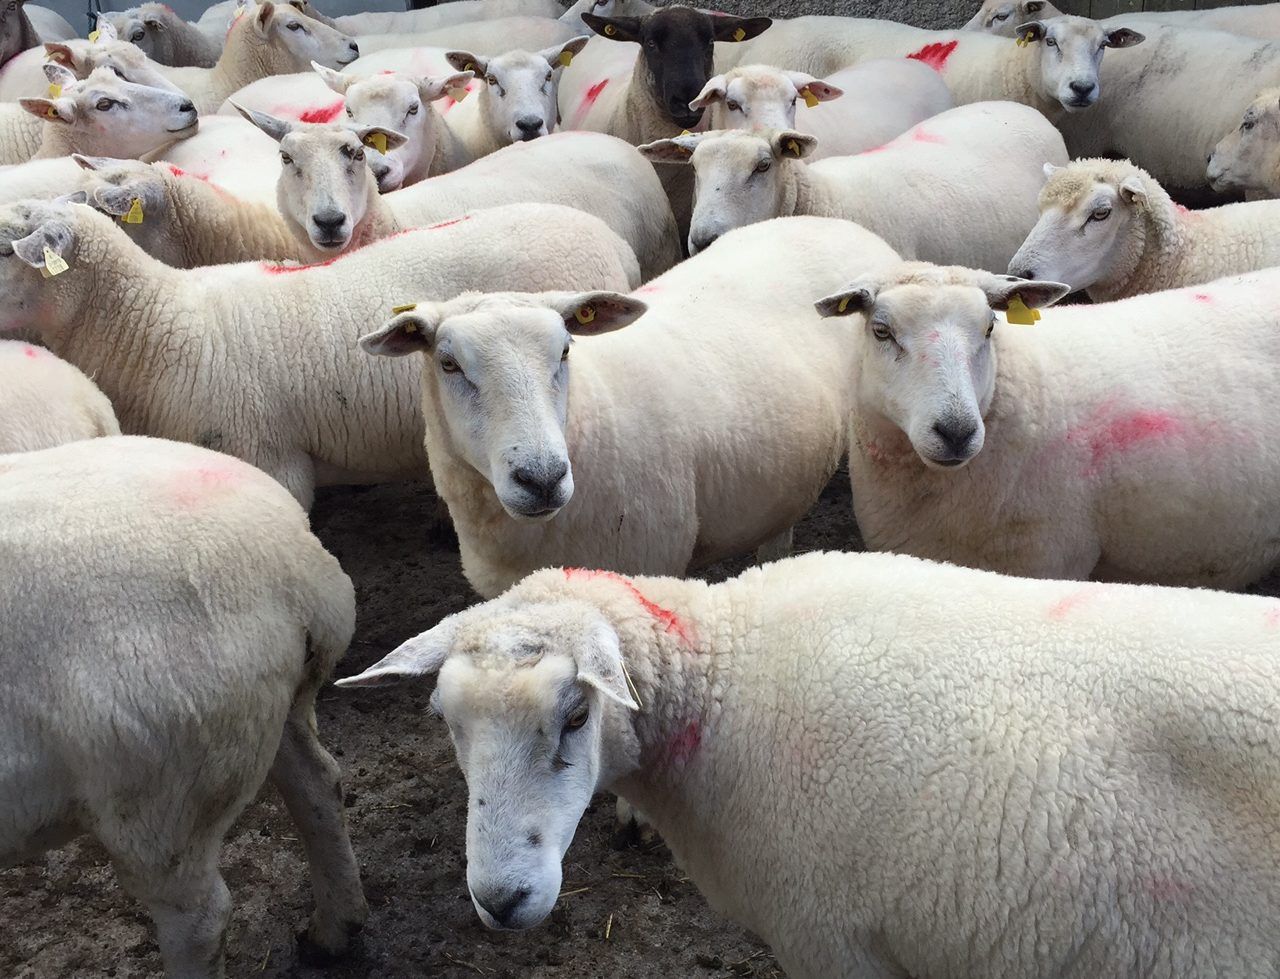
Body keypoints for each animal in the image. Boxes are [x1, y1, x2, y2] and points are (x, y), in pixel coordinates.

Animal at [2, 434, 366, 975]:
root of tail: (296, 567)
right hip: (272, 715)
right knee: (319, 786)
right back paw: (335, 931)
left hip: (162, 791)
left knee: (199, 919)